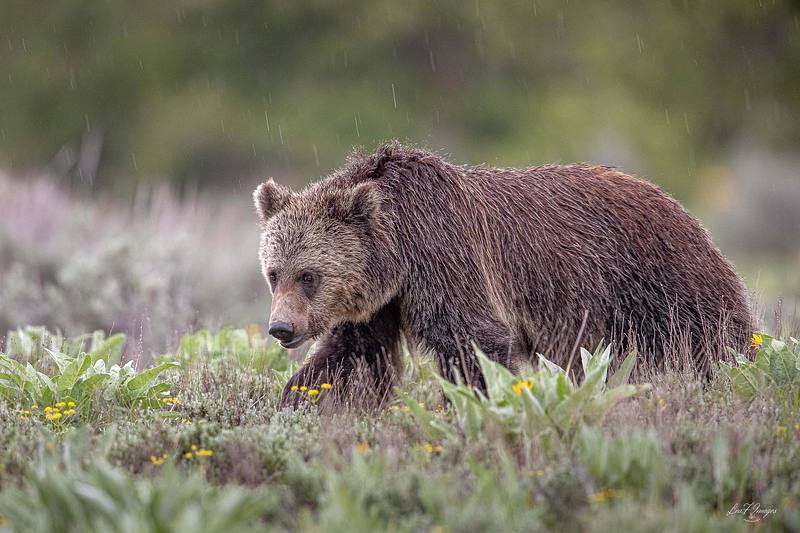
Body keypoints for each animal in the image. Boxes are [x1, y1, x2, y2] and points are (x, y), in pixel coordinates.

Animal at [253, 142, 754, 408]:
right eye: (274, 274)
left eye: (309, 276)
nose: (281, 328)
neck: (397, 249)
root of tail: (680, 206)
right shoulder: (380, 303)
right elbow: (351, 357)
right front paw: (297, 404)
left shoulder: (446, 257)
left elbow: (475, 343)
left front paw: (475, 406)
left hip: (661, 279)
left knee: (715, 342)